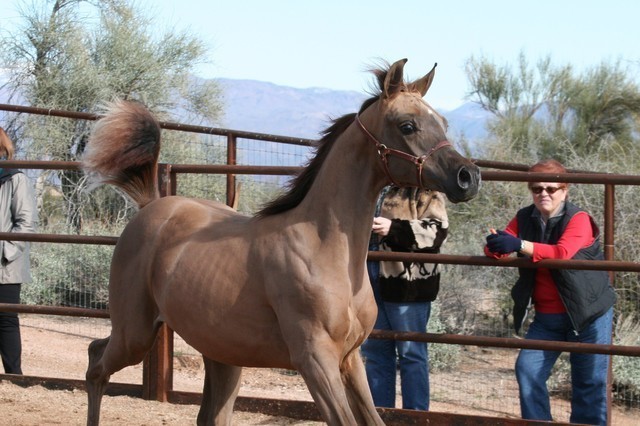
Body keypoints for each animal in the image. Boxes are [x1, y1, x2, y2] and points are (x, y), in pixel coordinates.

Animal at [82, 58, 481, 425]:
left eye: (443, 123)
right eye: (407, 125)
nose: (468, 177)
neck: (325, 250)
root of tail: (152, 204)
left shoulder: (350, 358)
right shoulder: (315, 360)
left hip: (223, 354)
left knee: (207, 414)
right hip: (135, 333)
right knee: (95, 363)